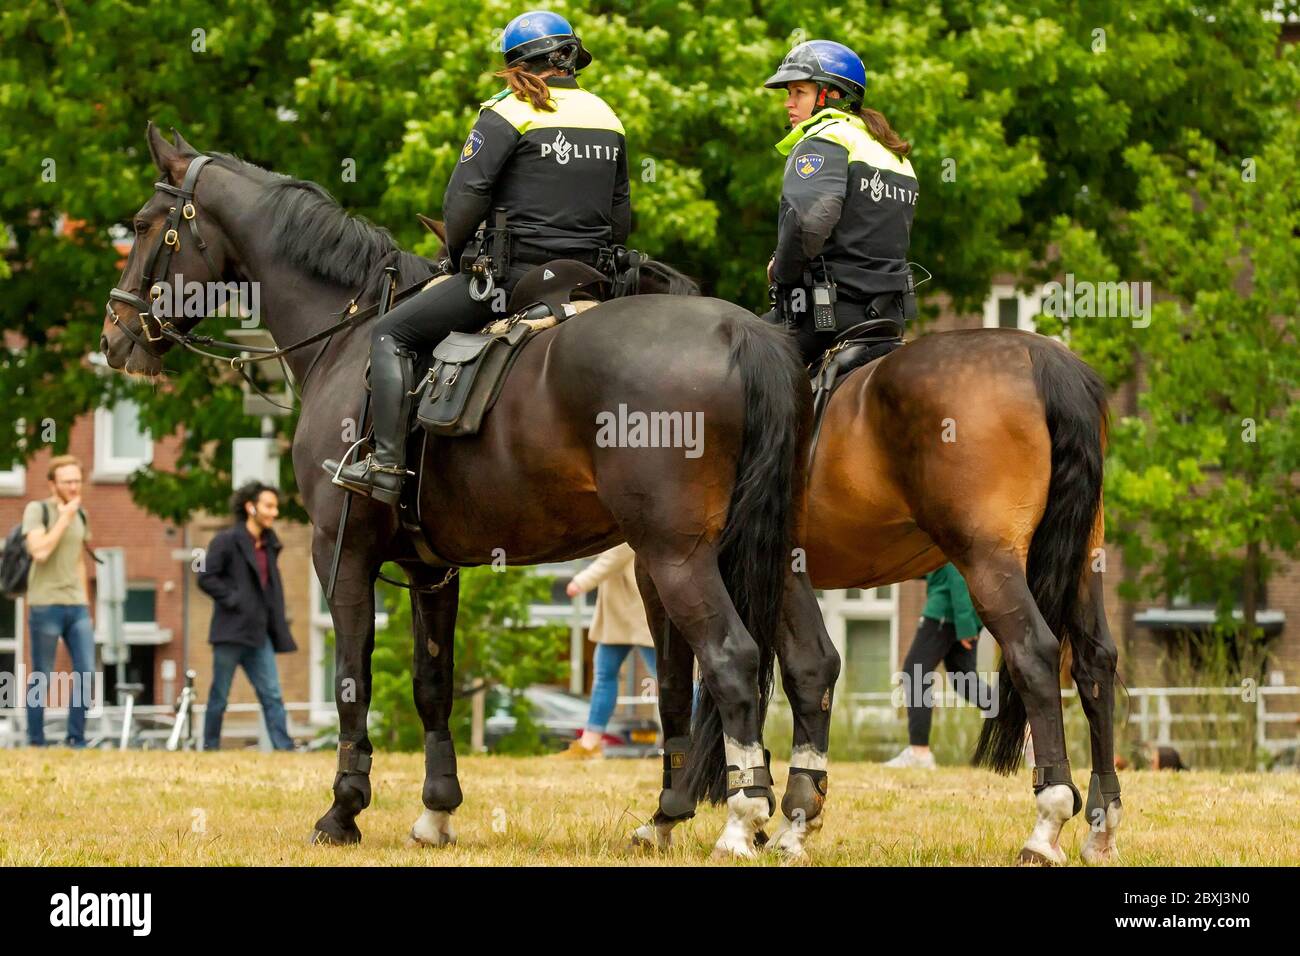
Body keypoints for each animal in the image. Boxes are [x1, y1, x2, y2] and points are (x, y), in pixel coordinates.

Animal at [104, 123, 832, 858]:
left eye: (141, 224)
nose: (115, 336)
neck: (348, 334)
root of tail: (743, 333)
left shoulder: (340, 553)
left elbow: (352, 679)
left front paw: (343, 811)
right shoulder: (432, 569)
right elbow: (433, 682)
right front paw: (437, 810)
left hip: (676, 557)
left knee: (733, 661)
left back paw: (741, 820)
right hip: (763, 552)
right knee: (807, 663)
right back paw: (767, 817)